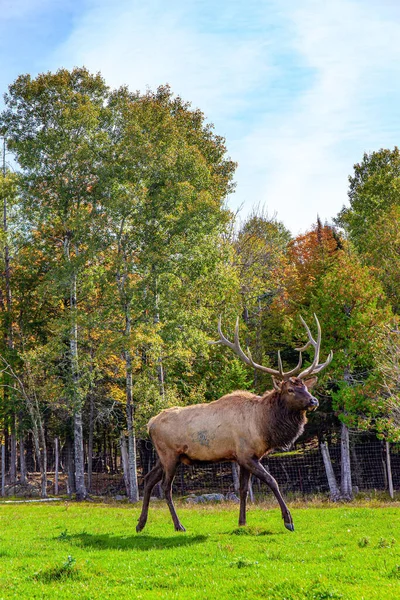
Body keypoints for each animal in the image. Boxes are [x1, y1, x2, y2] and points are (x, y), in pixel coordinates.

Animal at [136, 314, 332, 528]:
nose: (314, 401)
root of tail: (150, 423)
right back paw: (179, 526)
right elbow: (272, 481)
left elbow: (243, 490)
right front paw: (288, 520)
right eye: (290, 389)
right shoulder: (246, 454)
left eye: (305, 386)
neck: (263, 426)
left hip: (163, 456)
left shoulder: (246, 457)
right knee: (165, 486)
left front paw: (242, 522)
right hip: (170, 455)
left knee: (148, 479)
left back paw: (140, 523)